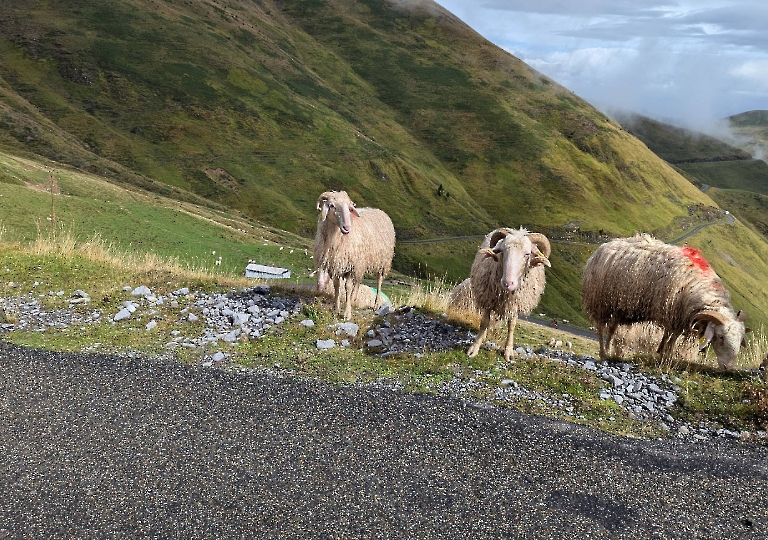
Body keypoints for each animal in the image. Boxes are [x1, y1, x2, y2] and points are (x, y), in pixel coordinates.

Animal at [314, 190, 396, 318]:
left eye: (349, 207)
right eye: (331, 205)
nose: (347, 227)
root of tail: (380, 210)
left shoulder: (350, 266)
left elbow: (347, 287)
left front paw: (347, 313)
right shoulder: (336, 264)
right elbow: (337, 286)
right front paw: (336, 308)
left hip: (383, 262)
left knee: (379, 281)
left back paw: (376, 304)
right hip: (361, 263)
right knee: (358, 281)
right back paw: (353, 300)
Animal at [464, 226, 548, 360]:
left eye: (527, 254)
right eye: (502, 251)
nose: (508, 283)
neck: (505, 293)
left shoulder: (514, 304)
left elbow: (511, 326)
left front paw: (508, 352)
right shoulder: (488, 298)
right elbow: (484, 322)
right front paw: (474, 348)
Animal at [584, 232, 752, 368]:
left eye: (740, 340)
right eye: (721, 337)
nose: (727, 367)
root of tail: (603, 247)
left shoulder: (679, 315)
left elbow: (670, 335)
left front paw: (661, 352)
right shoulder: (674, 312)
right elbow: (672, 335)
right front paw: (666, 354)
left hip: (618, 306)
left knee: (612, 328)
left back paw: (610, 352)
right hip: (601, 301)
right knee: (600, 328)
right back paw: (603, 353)